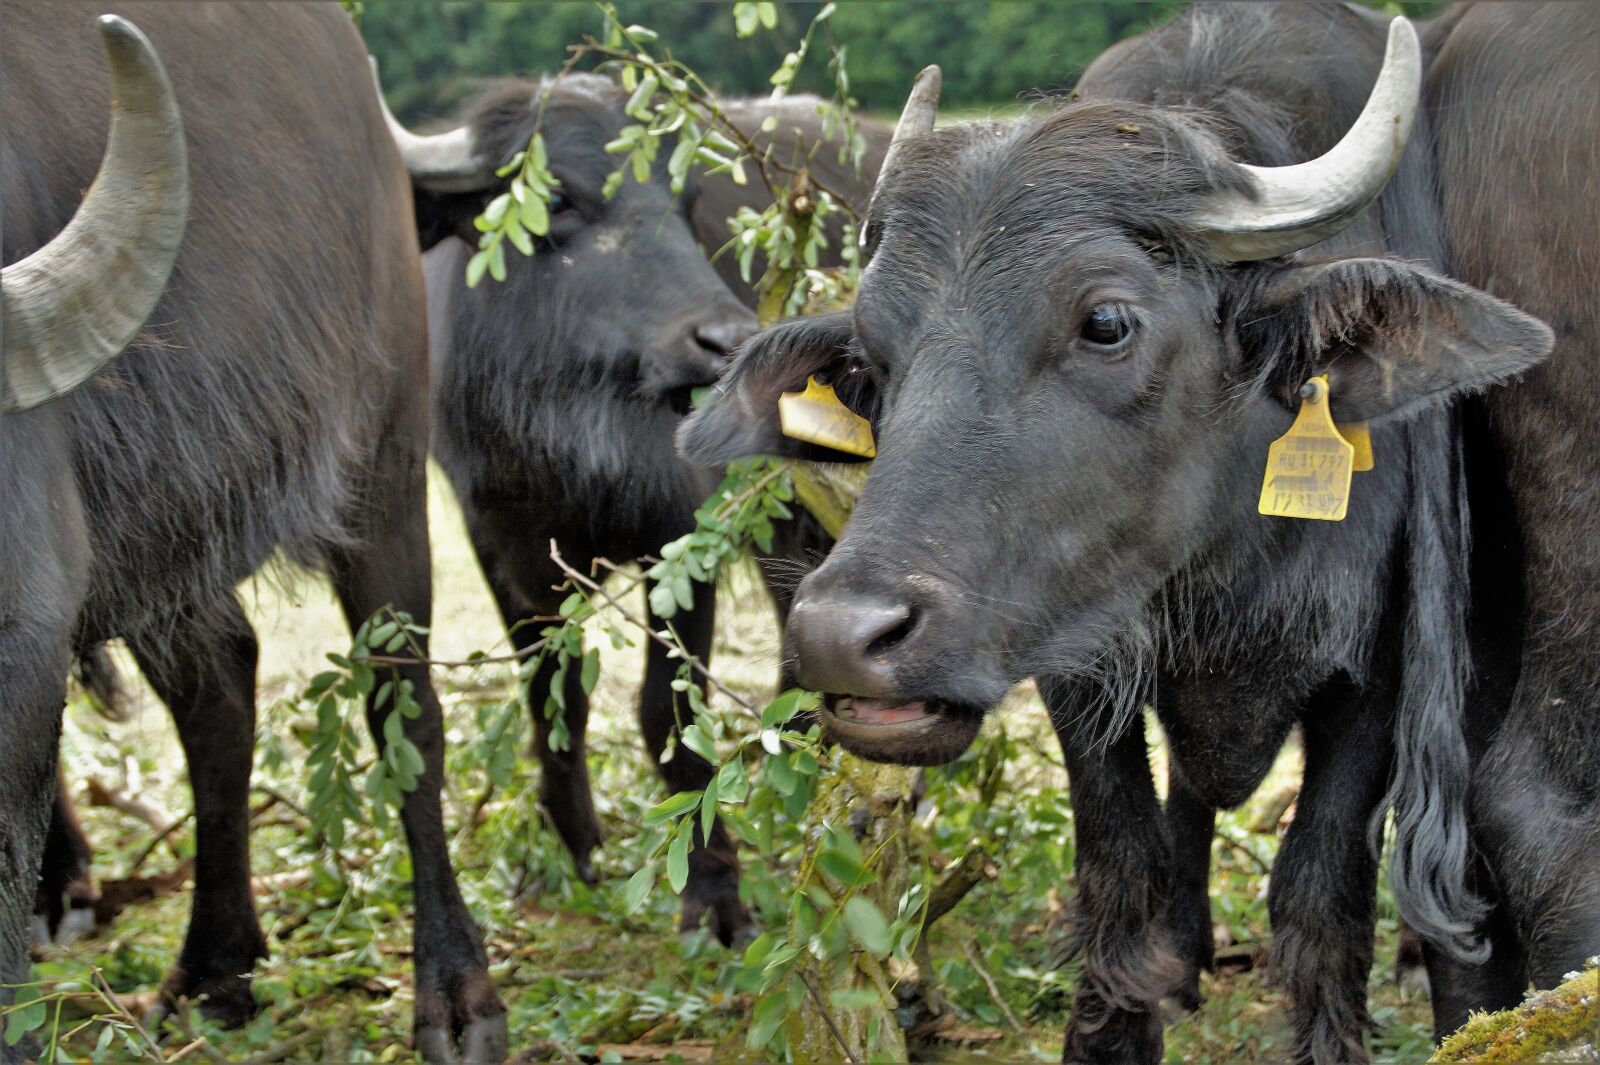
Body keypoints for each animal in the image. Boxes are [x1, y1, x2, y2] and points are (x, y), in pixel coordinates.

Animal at [1, 5, 504, 1062]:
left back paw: (456, 993)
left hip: (383, 455)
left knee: (406, 711)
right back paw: (216, 966)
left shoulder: (23, 617)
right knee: (222, 687)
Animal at [375, 71, 888, 944]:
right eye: (559, 198)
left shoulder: (682, 538)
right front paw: (572, 839)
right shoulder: (501, 542)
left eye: (683, 202)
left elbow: (664, 708)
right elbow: (555, 694)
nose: (726, 339)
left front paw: (713, 885)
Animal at [680, 3, 1589, 1061]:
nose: (839, 635)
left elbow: (1319, 894)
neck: (1227, 555)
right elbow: (1124, 872)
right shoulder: (1076, 662)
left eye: (1107, 321)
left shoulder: (1375, 675)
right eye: (868, 359)